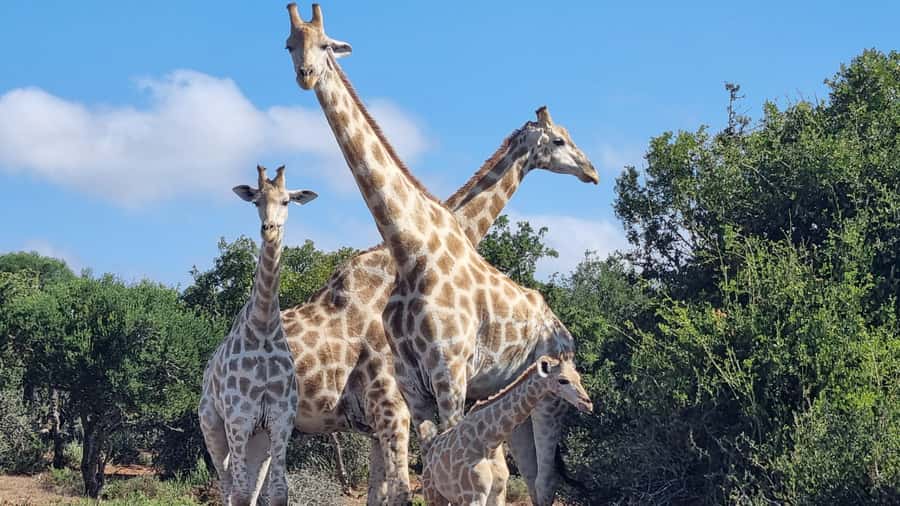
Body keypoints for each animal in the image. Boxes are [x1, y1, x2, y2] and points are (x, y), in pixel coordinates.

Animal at [198, 165, 317, 506]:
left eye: (287, 201)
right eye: (256, 201)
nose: (269, 228)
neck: (263, 327)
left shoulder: (280, 421)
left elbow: (277, 492)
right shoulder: (239, 419)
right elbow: (238, 493)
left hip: (259, 440)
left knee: (249, 488)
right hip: (213, 426)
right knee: (228, 486)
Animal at [420, 355, 593, 506]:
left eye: (578, 378)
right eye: (562, 380)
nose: (588, 404)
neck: (489, 441)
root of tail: (430, 454)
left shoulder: (498, 492)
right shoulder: (472, 496)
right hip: (433, 493)